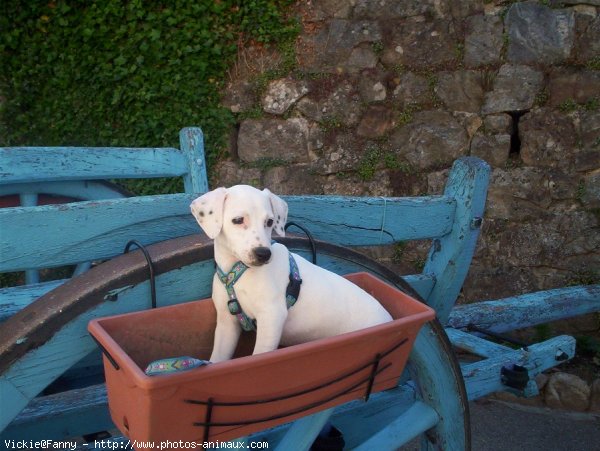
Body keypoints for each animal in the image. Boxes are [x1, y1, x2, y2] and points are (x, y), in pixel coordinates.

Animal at [190, 185, 392, 364]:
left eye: (269, 222)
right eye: (238, 220)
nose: (264, 253)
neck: (239, 272)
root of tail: (388, 318)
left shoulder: (272, 317)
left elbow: (259, 356)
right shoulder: (227, 323)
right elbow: (217, 359)